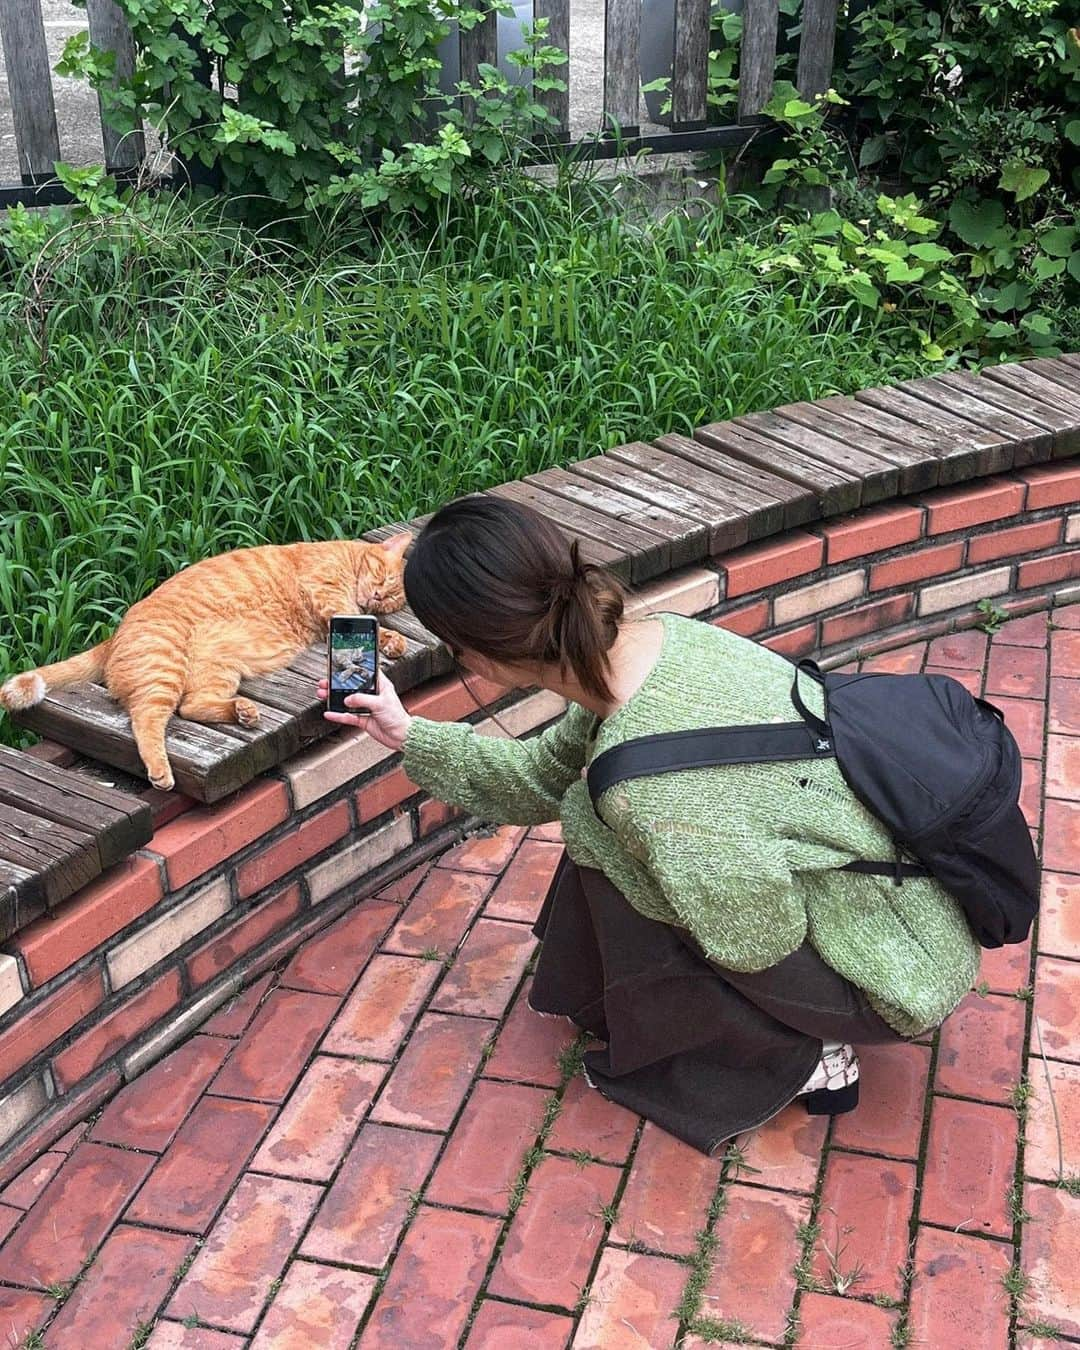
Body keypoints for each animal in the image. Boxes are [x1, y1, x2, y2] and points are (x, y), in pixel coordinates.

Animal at [0, 534, 413, 793]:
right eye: (383, 577)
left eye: (393, 597)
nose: (379, 597)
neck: (344, 557)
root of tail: (114, 635)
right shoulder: (326, 592)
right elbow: (355, 617)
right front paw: (391, 640)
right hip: (164, 667)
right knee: (147, 718)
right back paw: (161, 771)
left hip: (216, 668)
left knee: (191, 706)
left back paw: (243, 711)